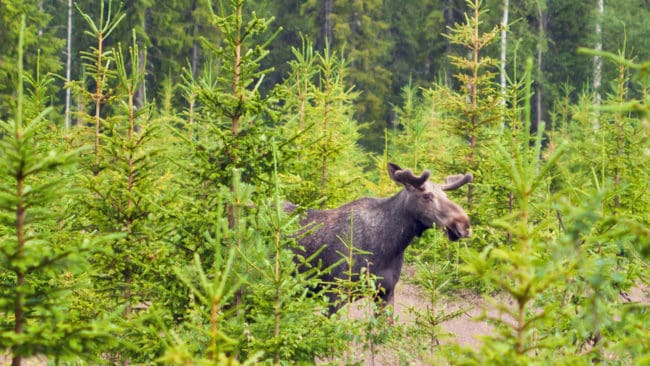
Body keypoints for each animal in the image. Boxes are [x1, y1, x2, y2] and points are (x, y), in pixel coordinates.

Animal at [288, 164, 470, 314]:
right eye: (426, 196)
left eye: (446, 196)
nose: (464, 225)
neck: (390, 246)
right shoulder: (336, 293)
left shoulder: (386, 293)